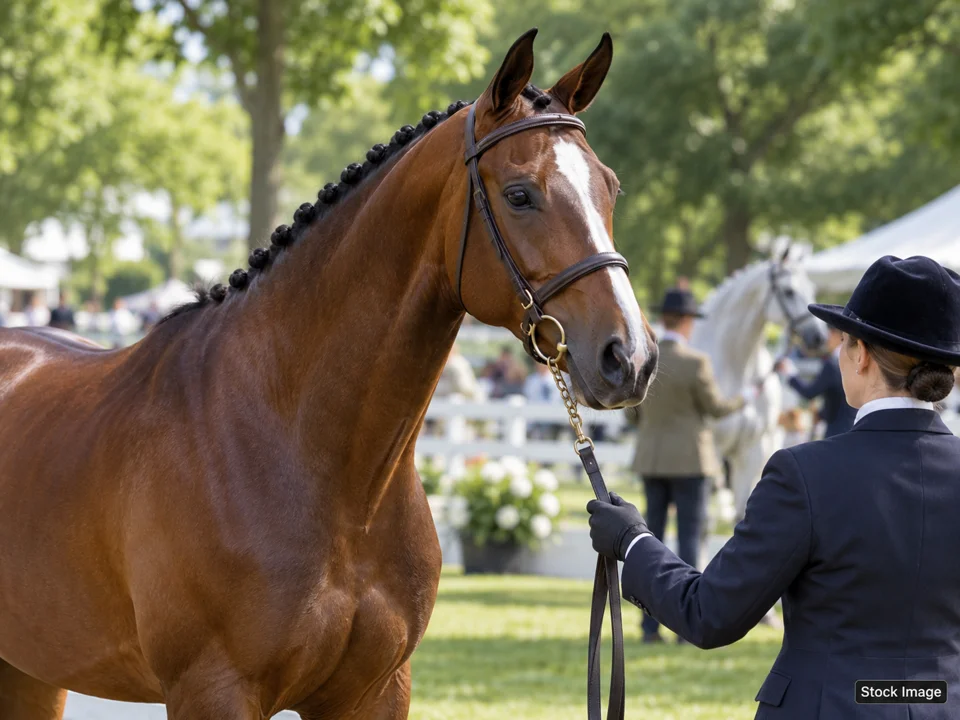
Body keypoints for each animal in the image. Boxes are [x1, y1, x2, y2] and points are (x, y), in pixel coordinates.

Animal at [0, 29, 657, 720]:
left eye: (610, 187)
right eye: (520, 194)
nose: (630, 356)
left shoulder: (374, 691)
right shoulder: (213, 693)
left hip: (31, 671)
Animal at [691, 242, 826, 521]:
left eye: (811, 289)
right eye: (788, 291)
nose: (819, 338)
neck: (737, 368)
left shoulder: (752, 450)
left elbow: (742, 510)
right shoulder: (713, 452)